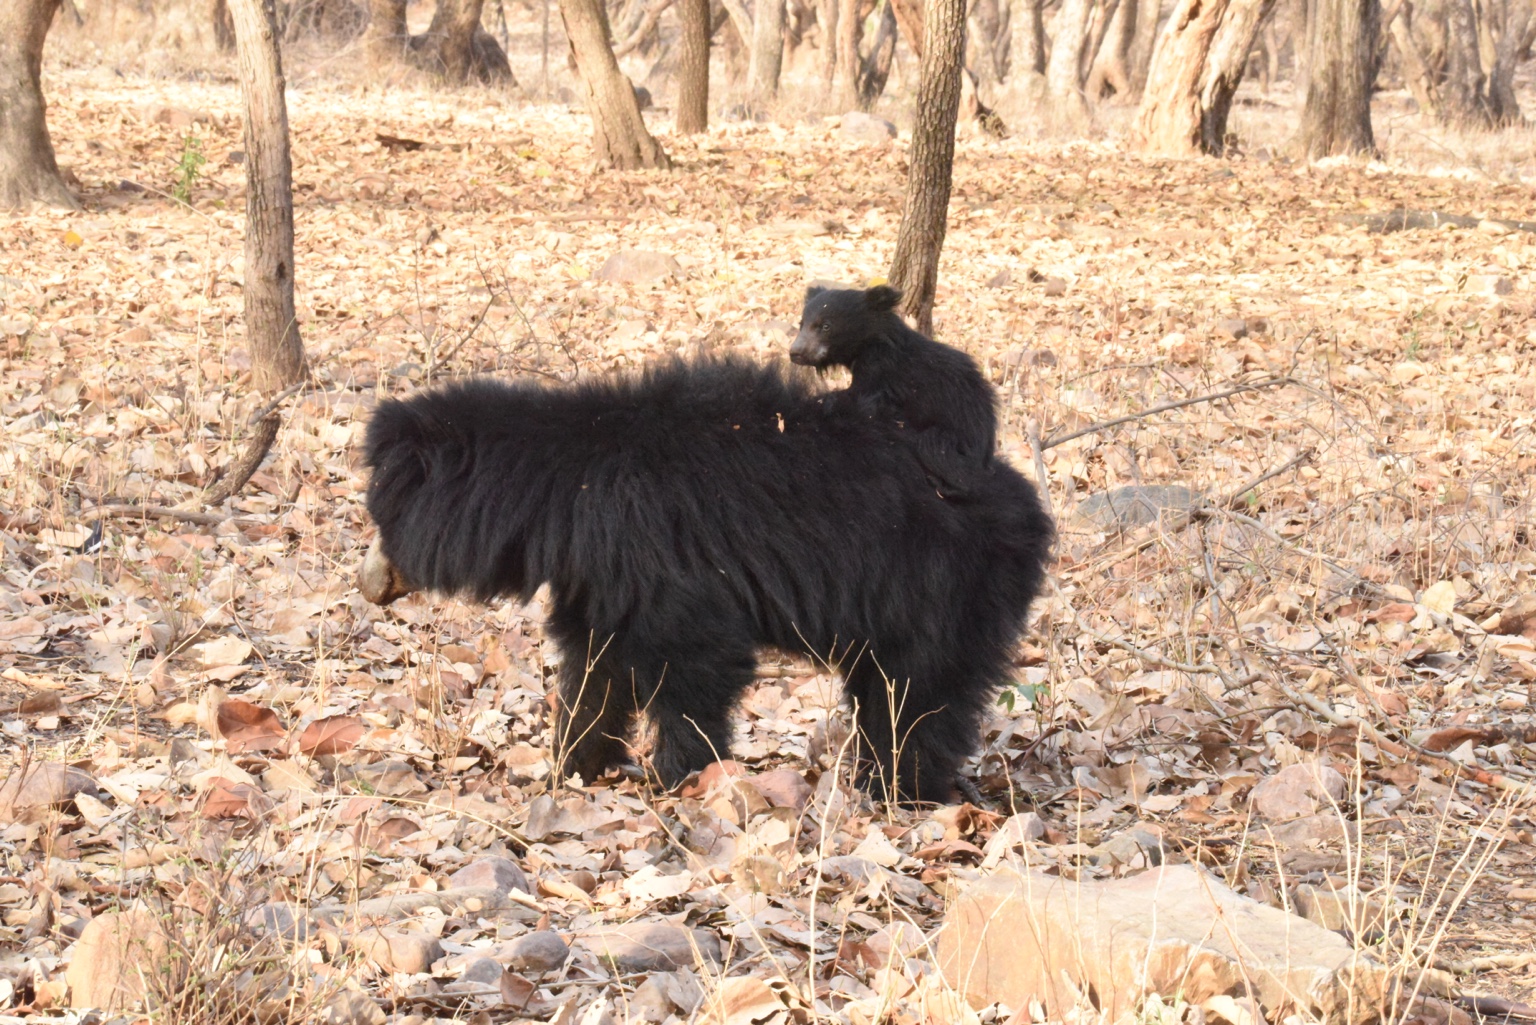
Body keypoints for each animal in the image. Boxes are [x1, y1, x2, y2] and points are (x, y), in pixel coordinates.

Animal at [361, 357, 1053, 803]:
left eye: (379, 517)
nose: (368, 582)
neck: (566, 494)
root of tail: (1027, 506)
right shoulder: (603, 576)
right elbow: (595, 668)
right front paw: (575, 764)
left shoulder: (658, 550)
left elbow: (694, 661)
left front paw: (681, 776)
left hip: (942, 585)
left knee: (919, 692)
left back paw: (900, 787)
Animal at [791, 284, 996, 498]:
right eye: (802, 324)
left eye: (825, 326)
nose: (794, 353)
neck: (870, 344)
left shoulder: (878, 369)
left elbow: (857, 396)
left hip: (955, 437)